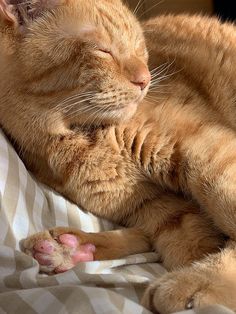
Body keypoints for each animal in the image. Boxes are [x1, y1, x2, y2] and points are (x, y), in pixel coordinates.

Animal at [0, 0, 236, 312]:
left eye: (139, 47)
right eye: (103, 50)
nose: (145, 79)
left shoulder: (209, 155)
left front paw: (196, 284)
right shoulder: (161, 208)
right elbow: (182, 245)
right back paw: (70, 247)